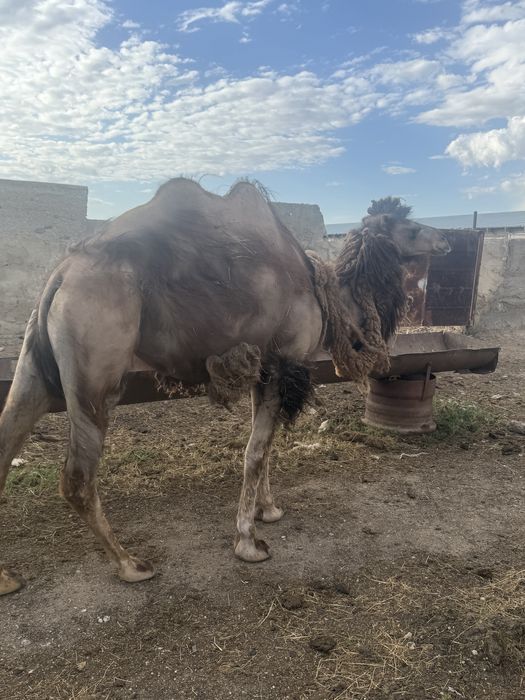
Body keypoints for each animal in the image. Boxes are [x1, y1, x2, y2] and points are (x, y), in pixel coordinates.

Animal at [0, 180, 451, 595]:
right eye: (410, 226)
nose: (445, 238)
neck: (326, 295)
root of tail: (60, 275)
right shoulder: (285, 360)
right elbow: (255, 451)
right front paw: (249, 543)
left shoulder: (263, 365)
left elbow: (264, 445)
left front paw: (269, 510)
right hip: (95, 364)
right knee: (77, 476)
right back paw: (131, 564)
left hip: (36, 360)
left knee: (9, 435)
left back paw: (8, 578)